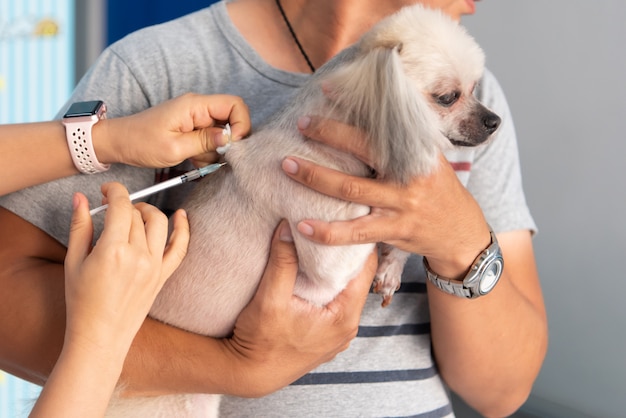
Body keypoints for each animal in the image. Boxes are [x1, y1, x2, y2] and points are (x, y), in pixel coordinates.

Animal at [106, 4, 498, 418]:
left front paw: (392, 267)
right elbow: (372, 225)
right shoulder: (332, 258)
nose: (495, 120)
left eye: (475, 90)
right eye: (448, 97)